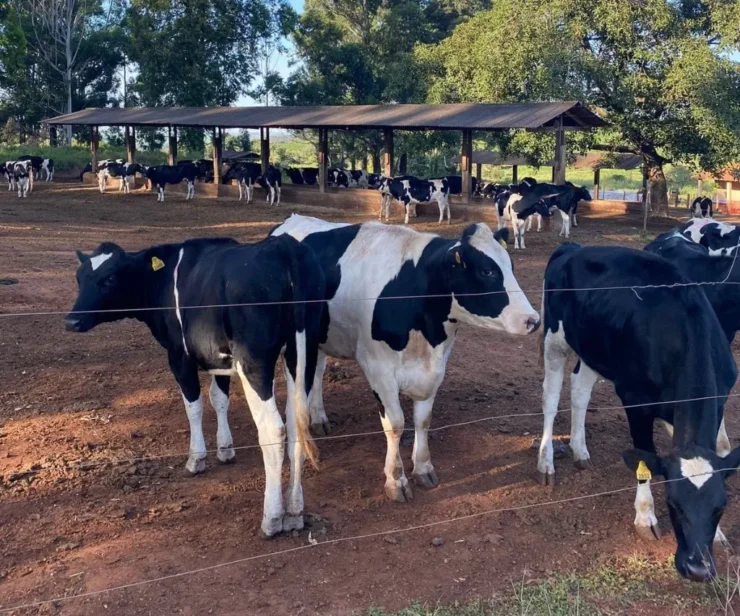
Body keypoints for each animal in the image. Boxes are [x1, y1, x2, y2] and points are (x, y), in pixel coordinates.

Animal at [64, 235, 326, 537]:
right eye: (79, 278)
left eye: (108, 279)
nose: (71, 320)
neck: (162, 277)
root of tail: (283, 246)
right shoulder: (219, 356)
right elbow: (219, 397)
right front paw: (225, 448)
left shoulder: (180, 355)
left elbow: (194, 405)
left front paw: (196, 459)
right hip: (303, 352)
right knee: (296, 425)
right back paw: (294, 512)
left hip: (255, 361)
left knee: (274, 429)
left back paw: (272, 519)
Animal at [271, 214, 539, 502]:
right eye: (487, 272)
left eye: (510, 266)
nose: (533, 320)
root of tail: (291, 220)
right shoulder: (378, 368)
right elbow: (396, 424)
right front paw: (395, 479)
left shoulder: (435, 368)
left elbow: (423, 420)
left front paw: (423, 468)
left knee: (319, 371)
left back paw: (319, 417)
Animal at [537, 243, 739, 582]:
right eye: (673, 505)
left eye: (720, 508)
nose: (698, 569)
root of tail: (574, 248)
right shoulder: (635, 400)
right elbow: (644, 456)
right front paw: (645, 517)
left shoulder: (717, 399)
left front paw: (720, 536)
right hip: (555, 339)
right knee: (550, 397)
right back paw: (546, 463)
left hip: (594, 349)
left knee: (580, 388)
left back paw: (580, 451)